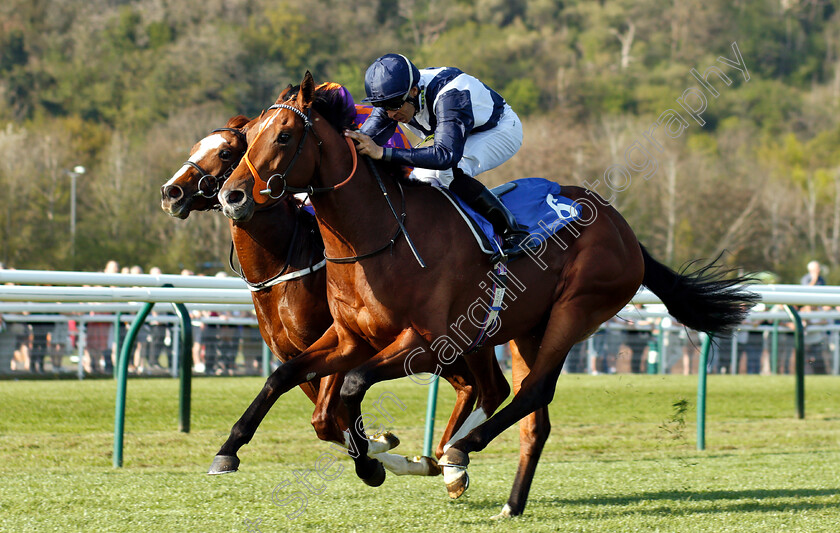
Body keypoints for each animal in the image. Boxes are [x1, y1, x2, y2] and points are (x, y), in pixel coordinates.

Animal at [161, 110, 508, 476]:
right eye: (195, 147)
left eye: (226, 153)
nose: (171, 192)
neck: (285, 263)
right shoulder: (296, 354)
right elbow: (318, 411)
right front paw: (379, 447)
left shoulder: (340, 338)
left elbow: (327, 418)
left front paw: (376, 453)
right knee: (473, 386)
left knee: (480, 386)